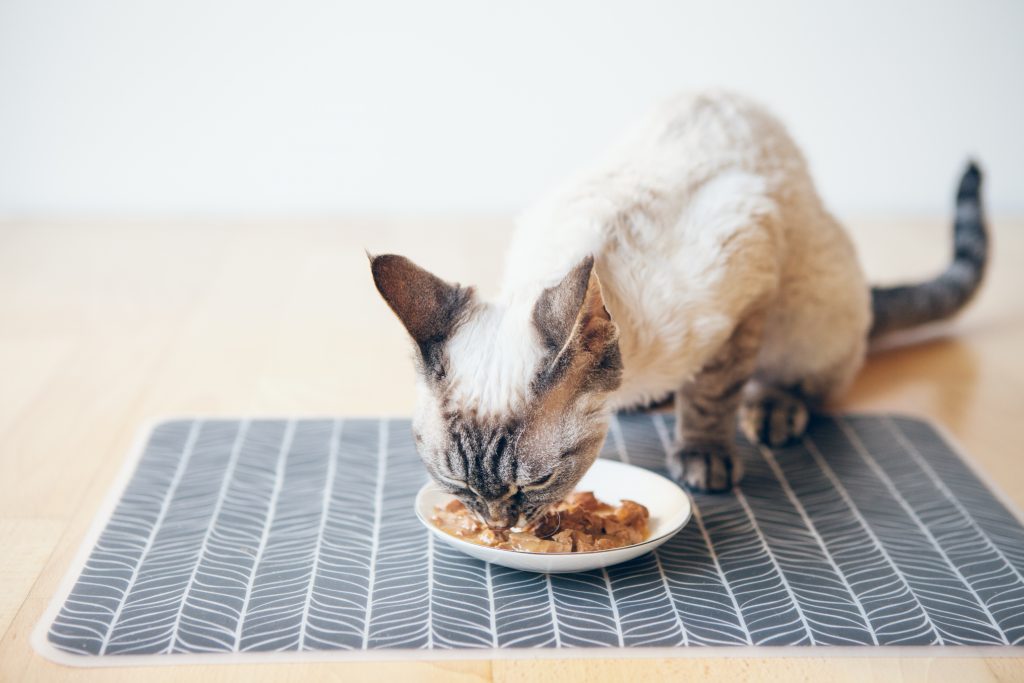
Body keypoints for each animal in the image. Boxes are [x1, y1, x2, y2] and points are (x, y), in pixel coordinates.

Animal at [368, 89, 983, 528]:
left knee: (805, 383)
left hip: (811, 314)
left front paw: (703, 457)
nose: (497, 524)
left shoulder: (747, 282)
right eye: (458, 486)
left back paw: (772, 410)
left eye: (534, 485)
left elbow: (712, 395)